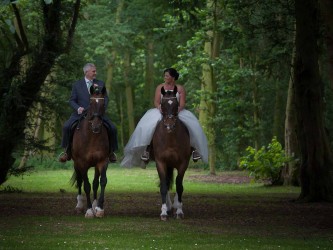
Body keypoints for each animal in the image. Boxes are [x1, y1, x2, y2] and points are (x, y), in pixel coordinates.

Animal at [70, 85, 109, 218]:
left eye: (103, 103)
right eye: (91, 103)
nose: (96, 127)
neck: (92, 136)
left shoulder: (102, 161)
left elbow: (102, 182)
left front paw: (99, 208)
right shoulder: (82, 163)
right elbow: (86, 185)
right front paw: (88, 210)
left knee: (95, 182)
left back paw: (94, 204)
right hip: (76, 164)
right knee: (80, 181)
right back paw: (79, 206)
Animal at [150, 86, 189, 221]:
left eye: (176, 105)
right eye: (163, 104)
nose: (169, 126)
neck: (170, 139)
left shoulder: (183, 163)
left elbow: (179, 186)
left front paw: (180, 211)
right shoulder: (160, 162)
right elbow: (163, 186)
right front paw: (163, 213)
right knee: (166, 183)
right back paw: (168, 207)